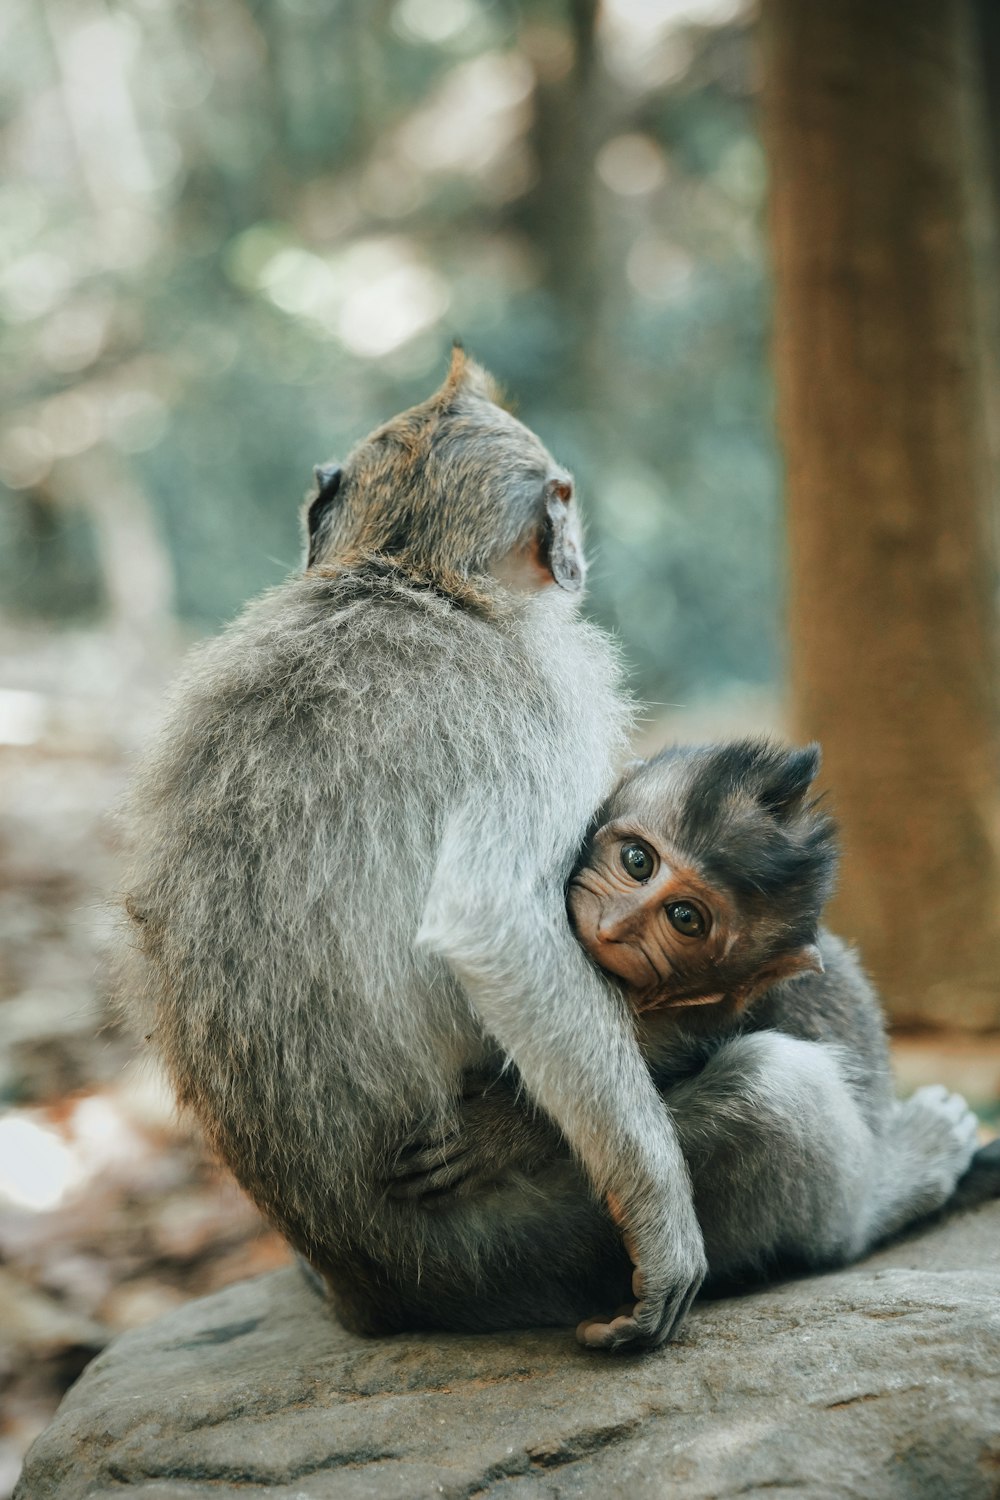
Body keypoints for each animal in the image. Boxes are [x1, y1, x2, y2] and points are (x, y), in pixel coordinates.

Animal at [121, 348, 704, 1350]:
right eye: (563, 502)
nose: (577, 554)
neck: (411, 570)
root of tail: (367, 1287)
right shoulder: (538, 698)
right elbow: (495, 928)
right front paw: (661, 1223)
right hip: (508, 1249)